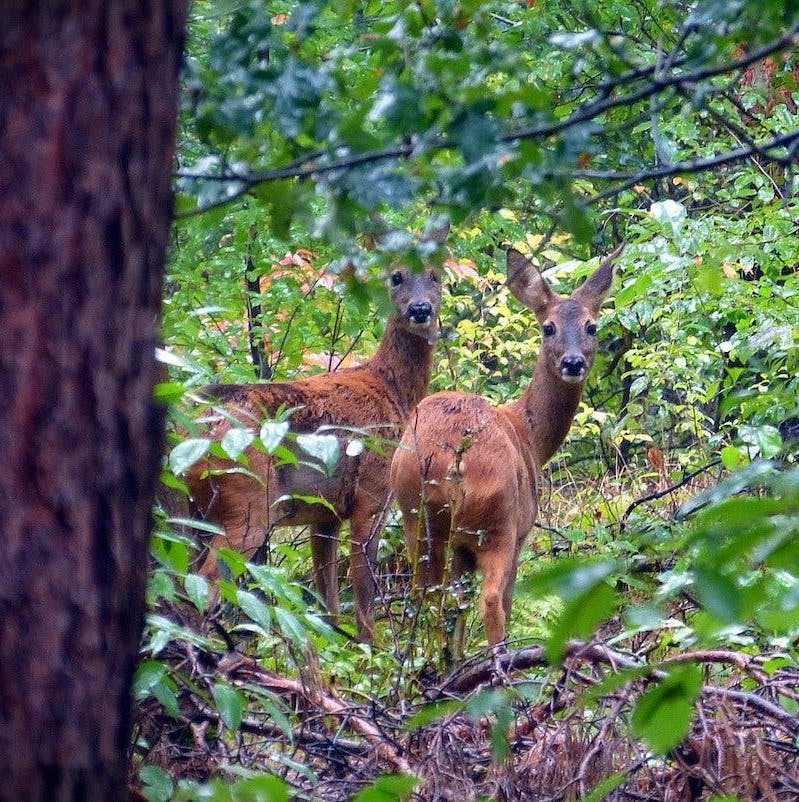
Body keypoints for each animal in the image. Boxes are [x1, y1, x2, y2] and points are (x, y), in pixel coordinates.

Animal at [186, 223, 450, 636]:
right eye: (396, 276)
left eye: (436, 276)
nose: (420, 309)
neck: (393, 391)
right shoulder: (372, 492)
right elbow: (362, 593)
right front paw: (370, 648)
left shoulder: (325, 514)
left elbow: (328, 604)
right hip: (248, 503)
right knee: (205, 584)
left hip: (193, 512)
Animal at [390, 242, 620, 656]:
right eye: (548, 327)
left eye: (591, 326)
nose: (573, 362)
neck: (530, 437)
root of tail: (450, 460)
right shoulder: (521, 531)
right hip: (497, 523)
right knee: (492, 601)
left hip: (415, 517)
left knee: (428, 599)